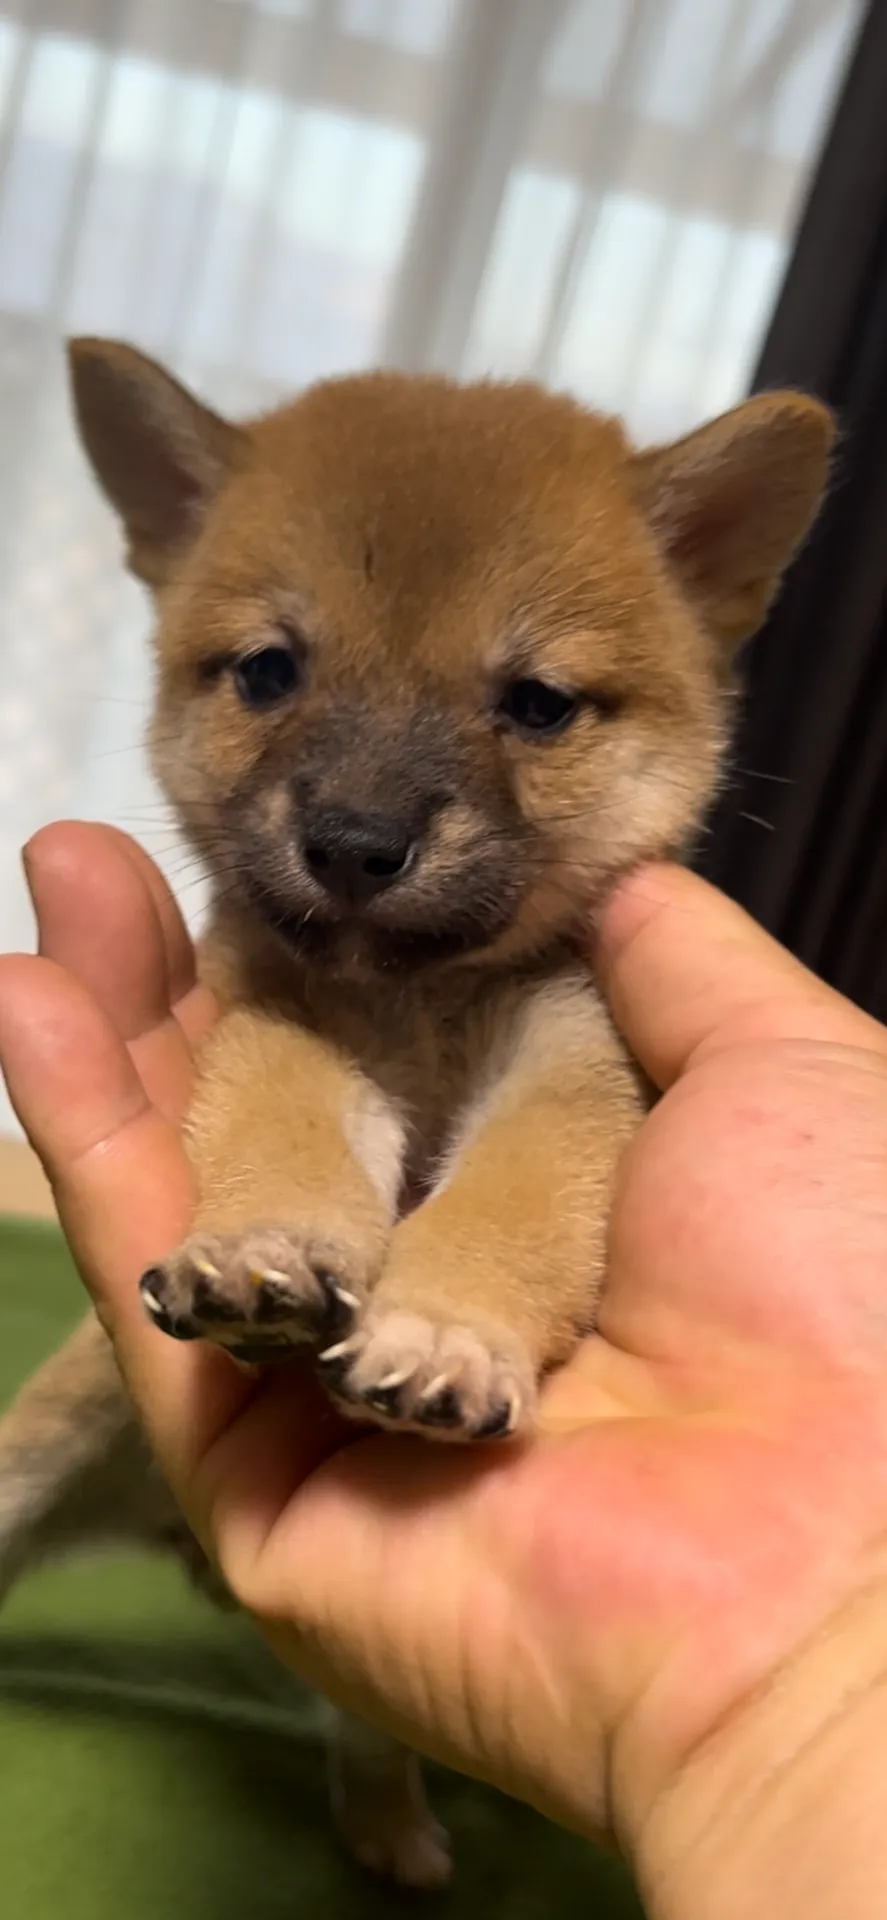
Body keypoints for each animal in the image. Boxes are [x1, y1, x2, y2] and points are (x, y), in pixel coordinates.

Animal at [0, 337, 833, 1881]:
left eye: (536, 703)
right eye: (270, 670)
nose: (354, 843)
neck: (421, 1011)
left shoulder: (570, 1074)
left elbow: (508, 1205)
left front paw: (447, 1332)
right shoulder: (286, 1029)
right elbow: (286, 1134)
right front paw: (266, 1255)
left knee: (365, 1728)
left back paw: (387, 1827)